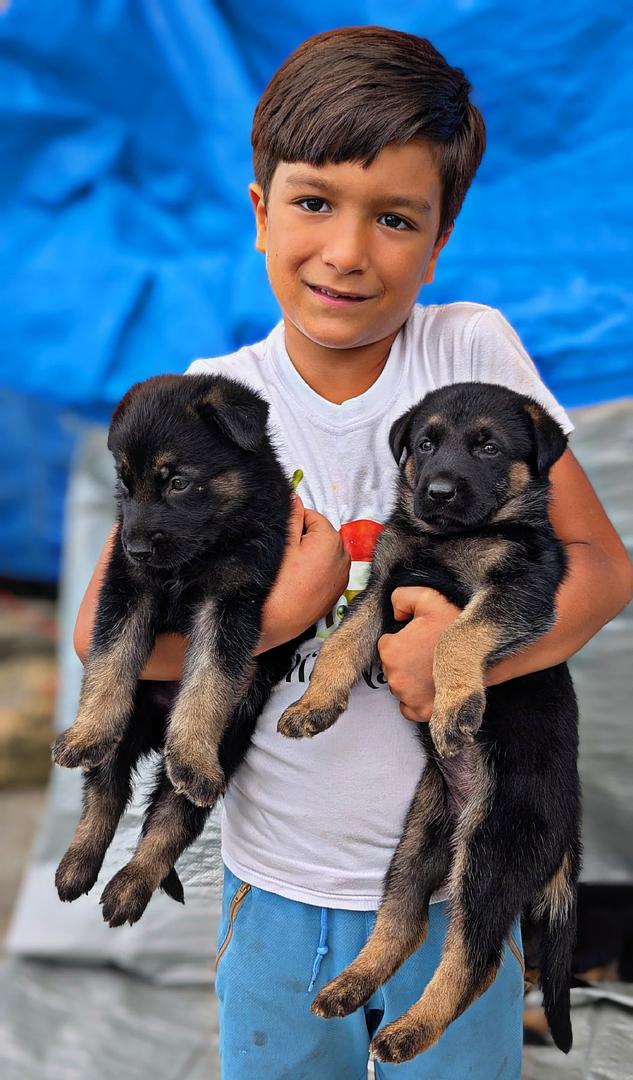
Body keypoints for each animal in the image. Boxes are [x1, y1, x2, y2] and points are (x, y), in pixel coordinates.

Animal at [51, 375, 295, 924]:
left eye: (178, 482)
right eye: (124, 485)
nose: (137, 548)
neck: (202, 551)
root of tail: (155, 729)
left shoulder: (231, 603)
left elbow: (209, 679)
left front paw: (193, 754)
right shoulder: (126, 587)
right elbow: (110, 656)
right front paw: (86, 729)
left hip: (227, 745)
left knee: (169, 818)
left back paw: (130, 885)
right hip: (127, 725)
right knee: (106, 791)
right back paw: (77, 863)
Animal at [278, 382, 578, 1062]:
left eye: (488, 447)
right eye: (424, 444)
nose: (436, 492)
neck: (445, 540)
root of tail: (567, 833)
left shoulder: (518, 586)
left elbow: (456, 633)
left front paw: (456, 703)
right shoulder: (383, 584)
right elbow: (342, 644)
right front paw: (314, 706)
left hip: (491, 851)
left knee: (476, 959)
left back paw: (410, 1030)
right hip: (420, 837)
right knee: (404, 920)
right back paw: (352, 984)